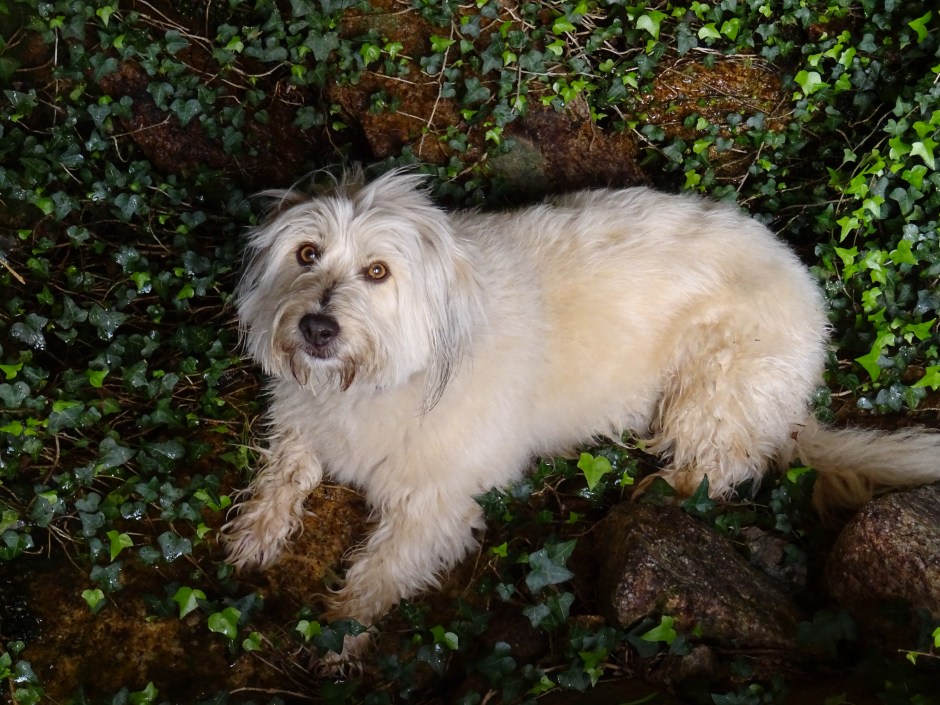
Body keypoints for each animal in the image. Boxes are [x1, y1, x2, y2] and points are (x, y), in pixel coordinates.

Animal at [221, 167, 940, 667]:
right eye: (307, 253)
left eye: (377, 272)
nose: (316, 327)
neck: (382, 378)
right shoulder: (302, 420)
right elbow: (284, 471)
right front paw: (255, 532)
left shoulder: (436, 503)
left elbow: (380, 571)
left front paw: (341, 631)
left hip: (716, 381)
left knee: (723, 463)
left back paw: (664, 490)